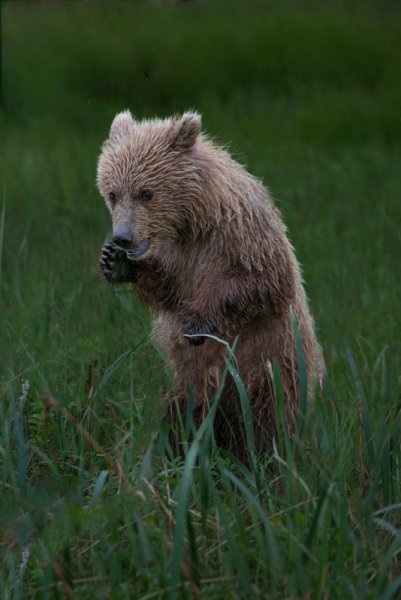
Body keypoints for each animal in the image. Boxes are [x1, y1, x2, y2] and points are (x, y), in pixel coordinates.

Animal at [96, 109, 318, 460]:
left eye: (147, 192)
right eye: (112, 193)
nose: (122, 238)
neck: (191, 220)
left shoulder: (240, 234)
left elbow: (261, 281)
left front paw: (197, 321)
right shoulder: (178, 257)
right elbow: (167, 290)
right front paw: (116, 263)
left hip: (271, 368)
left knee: (265, 425)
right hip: (192, 381)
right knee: (182, 416)